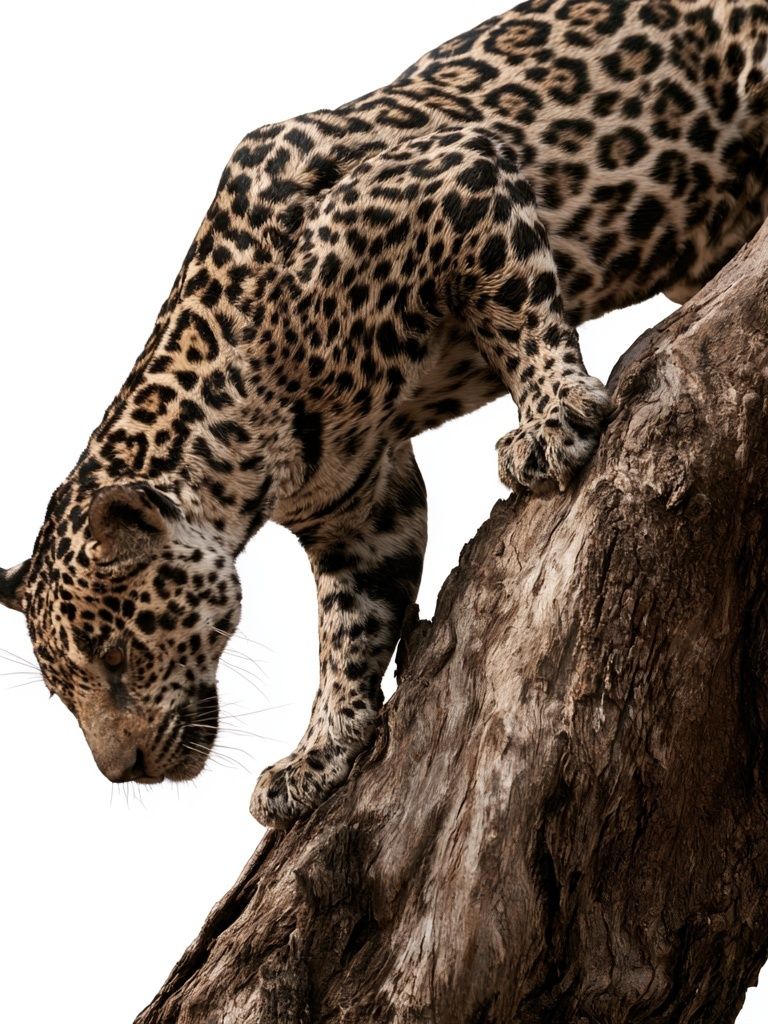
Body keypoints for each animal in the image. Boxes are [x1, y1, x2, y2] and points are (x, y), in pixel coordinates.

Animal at [1, 0, 767, 829]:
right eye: (63, 692)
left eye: (115, 655)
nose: (123, 771)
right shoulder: (362, 508)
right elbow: (350, 627)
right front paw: (317, 754)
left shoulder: (459, 174)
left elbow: (515, 307)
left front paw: (551, 417)